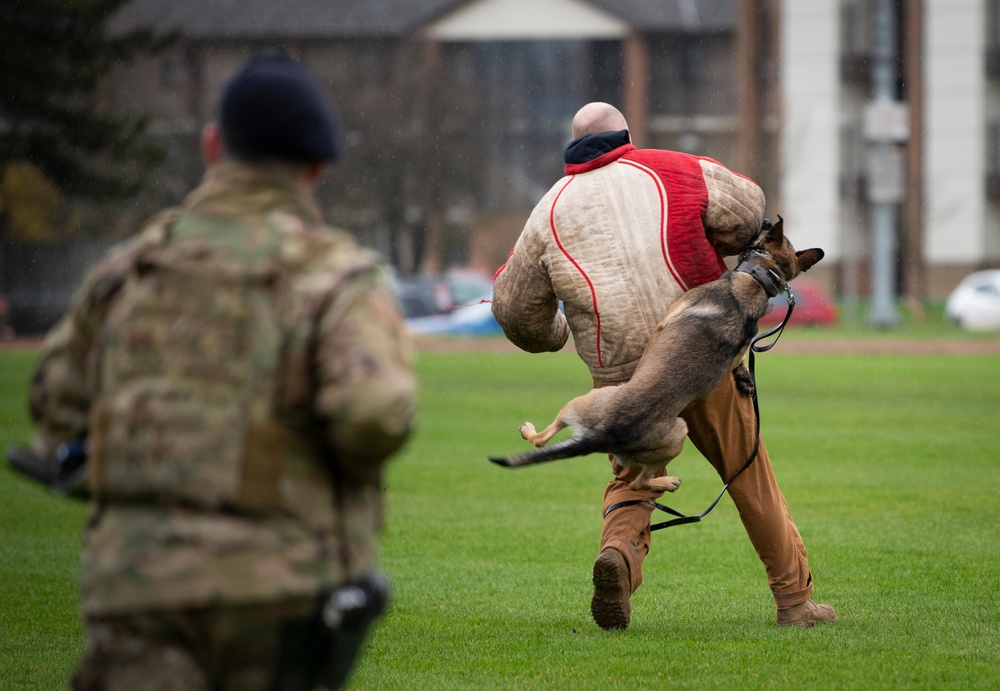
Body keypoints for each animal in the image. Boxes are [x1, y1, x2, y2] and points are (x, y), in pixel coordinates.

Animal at [488, 219, 824, 494]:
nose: (764, 219)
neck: (758, 279)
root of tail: (603, 435)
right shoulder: (740, 346)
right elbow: (739, 358)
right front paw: (744, 378)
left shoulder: (664, 321)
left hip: (617, 410)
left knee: (620, 476)